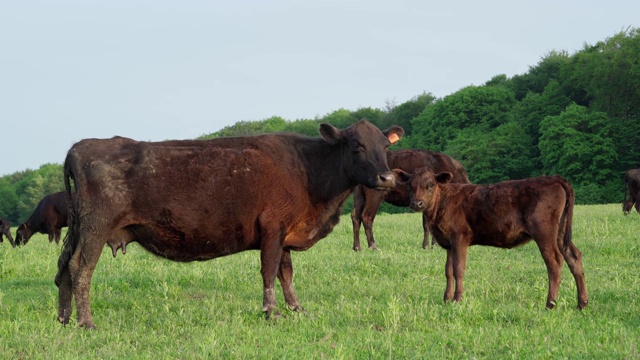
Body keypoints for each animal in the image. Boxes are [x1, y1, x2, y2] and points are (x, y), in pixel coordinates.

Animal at [56, 121, 404, 330]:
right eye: (356, 145)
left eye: (385, 146)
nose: (387, 178)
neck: (309, 173)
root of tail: (80, 146)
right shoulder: (273, 227)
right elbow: (269, 271)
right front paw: (272, 312)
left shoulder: (285, 232)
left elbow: (286, 273)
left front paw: (297, 309)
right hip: (96, 227)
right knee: (81, 268)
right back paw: (86, 322)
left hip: (78, 228)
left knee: (63, 268)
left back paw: (63, 318)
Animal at [396, 169, 592, 310]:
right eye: (409, 186)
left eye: (430, 185)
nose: (417, 203)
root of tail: (554, 178)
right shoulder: (449, 243)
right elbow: (448, 271)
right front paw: (446, 299)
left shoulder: (459, 237)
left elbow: (459, 269)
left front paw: (458, 300)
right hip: (560, 232)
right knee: (574, 257)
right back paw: (582, 303)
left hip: (544, 231)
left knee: (554, 262)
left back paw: (550, 304)